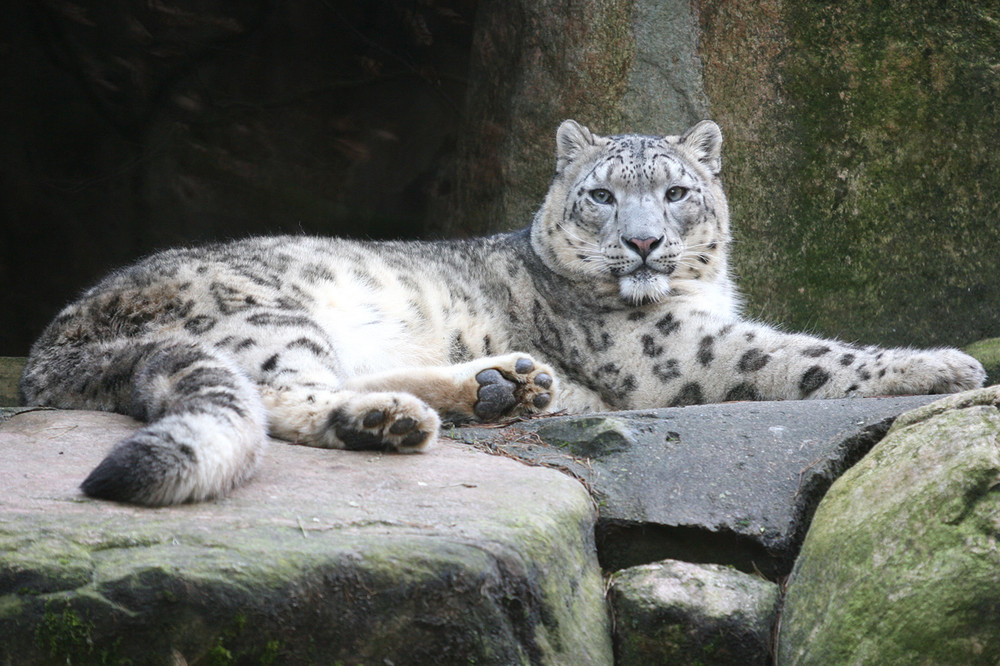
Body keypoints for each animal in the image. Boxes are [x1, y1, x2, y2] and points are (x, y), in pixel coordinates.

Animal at [19, 119, 988, 504]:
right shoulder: (687, 351)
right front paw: (945, 362)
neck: (699, 294)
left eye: (676, 191)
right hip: (268, 318)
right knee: (284, 398)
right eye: (602, 195)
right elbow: (804, 356)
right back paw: (396, 420)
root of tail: (48, 346)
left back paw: (503, 386)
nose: (644, 243)